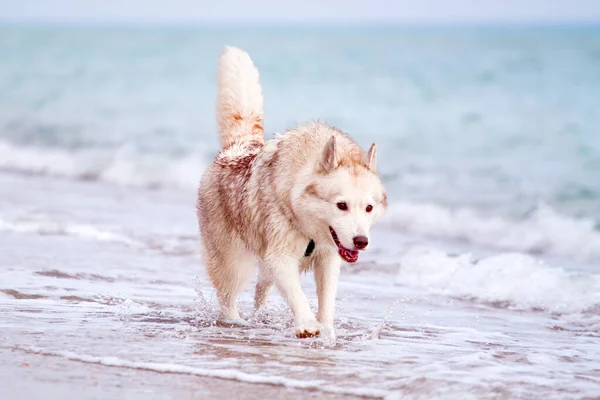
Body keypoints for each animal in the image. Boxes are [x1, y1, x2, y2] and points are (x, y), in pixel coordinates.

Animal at [195, 47, 386, 340]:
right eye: (341, 205)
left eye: (369, 208)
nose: (361, 241)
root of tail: (237, 147)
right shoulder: (281, 257)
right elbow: (298, 296)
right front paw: (307, 325)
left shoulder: (328, 258)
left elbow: (326, 299)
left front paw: (327, 329)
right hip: (233, 262)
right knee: (228, 296)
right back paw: (235, 323)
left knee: (260, 290)